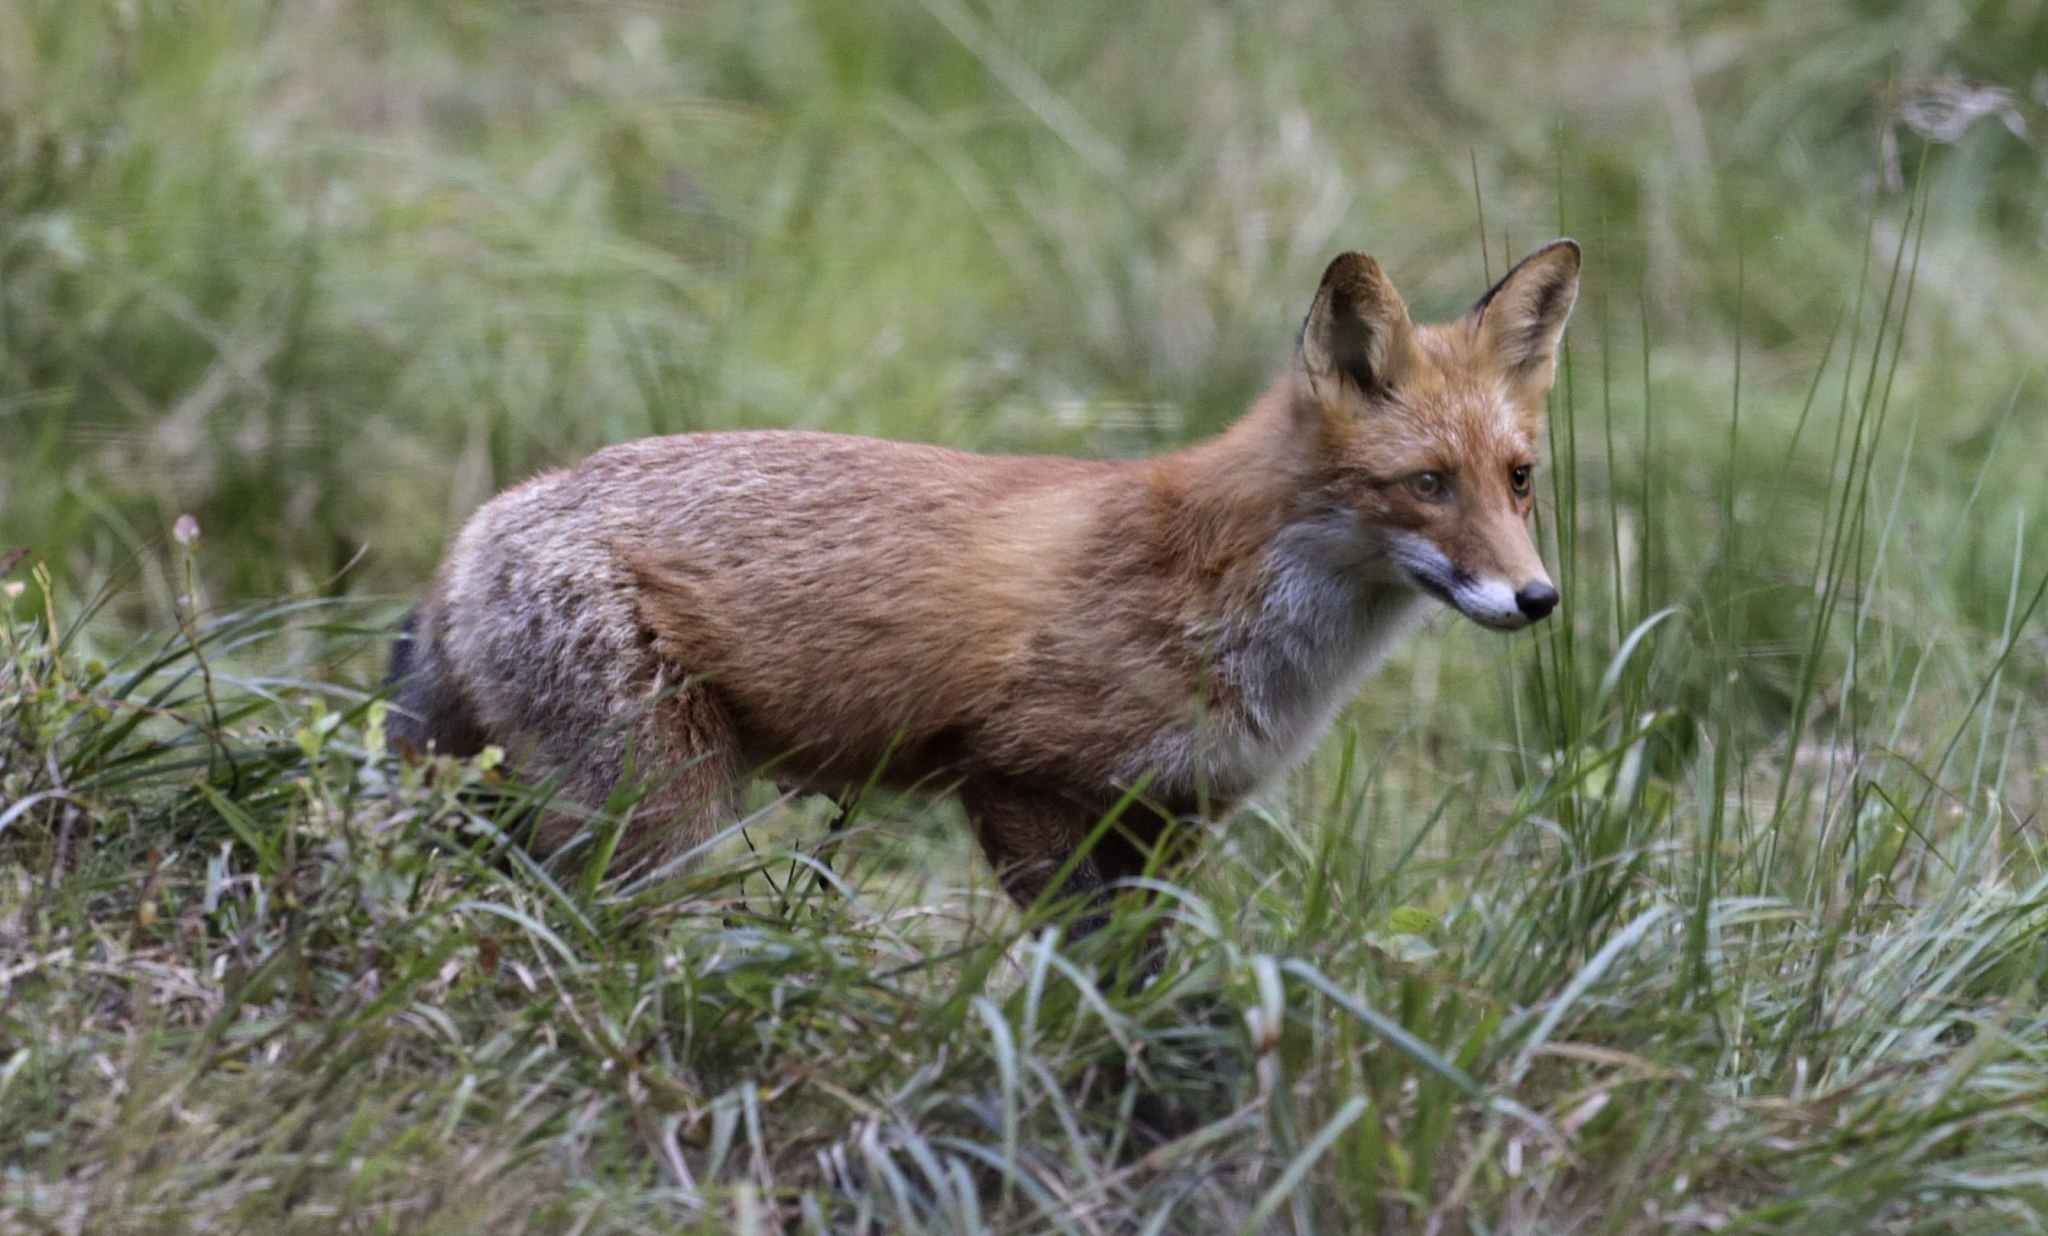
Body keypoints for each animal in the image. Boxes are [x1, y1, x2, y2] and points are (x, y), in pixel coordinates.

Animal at [387, 243, 1581, 924]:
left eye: (1518, 479)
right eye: (1425, 485)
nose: (1537, 602)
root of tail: (474, 530)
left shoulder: (1173, 817)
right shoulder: (1017, 778)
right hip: (653, 815)